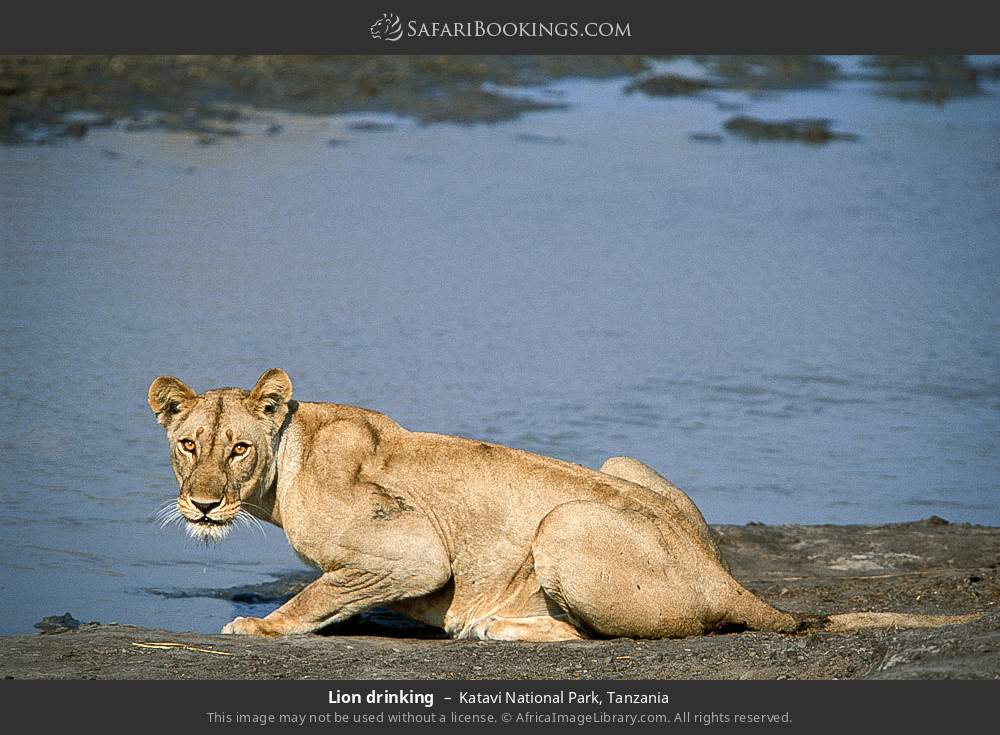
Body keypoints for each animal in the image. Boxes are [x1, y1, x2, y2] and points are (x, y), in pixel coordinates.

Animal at [148, 369, 980, 640]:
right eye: (188, 444)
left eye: (239, 449)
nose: (203, 505)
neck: (290, 455)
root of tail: (723, 574)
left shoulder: (415, 549)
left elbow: (318, 590)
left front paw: (257, 623)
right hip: (618, 460)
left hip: (566, 519)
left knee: (597, 636)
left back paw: (492, 626)